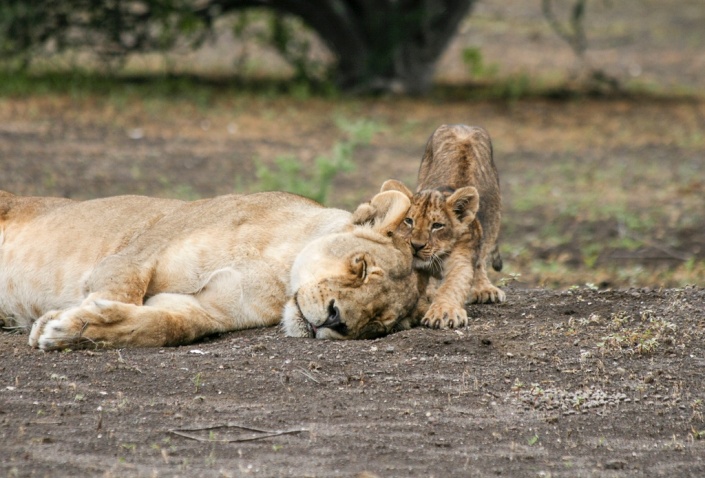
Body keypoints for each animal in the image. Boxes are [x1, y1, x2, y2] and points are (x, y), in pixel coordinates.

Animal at [0, 189, 420, 350]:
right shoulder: (136, 253)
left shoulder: (208, 309)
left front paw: (78, 330)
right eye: (361, 268)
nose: (337, 321)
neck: (278, 273)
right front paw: (71, 321)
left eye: (377, 324)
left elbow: (167, 326)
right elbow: (122, 290)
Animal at [381, 124, 505, 329]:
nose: (416, 246)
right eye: (409, 221)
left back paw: (485, 289)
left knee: (480, 260)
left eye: (437, 226)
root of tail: (462, 125)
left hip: (493, 217)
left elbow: (453, 285)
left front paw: (444, 312)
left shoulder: (461, 258)